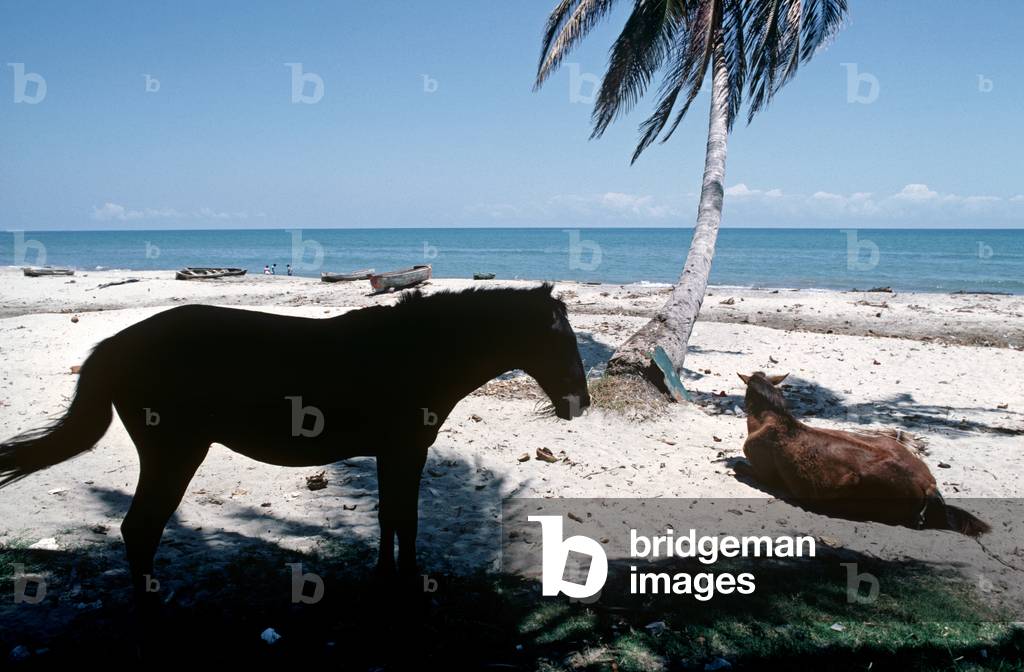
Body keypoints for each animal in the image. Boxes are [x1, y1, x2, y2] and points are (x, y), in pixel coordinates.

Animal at [0, 284, 591, 610]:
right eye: (560, 339)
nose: (580, 403)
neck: (417, 351)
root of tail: (114, 345)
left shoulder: (392, 452)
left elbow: (390, 517)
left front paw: (384, 576)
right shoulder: (405, 450)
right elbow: (405, 516)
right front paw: (403, 582)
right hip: (174, 454)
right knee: (140, 528)